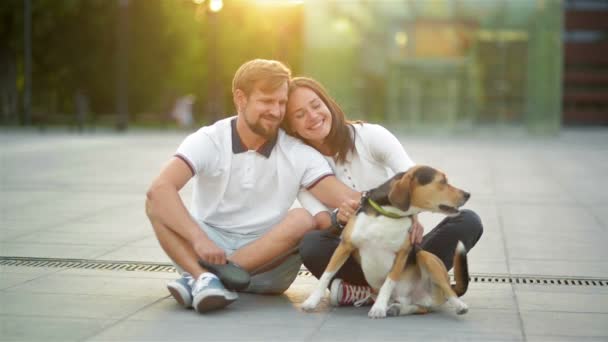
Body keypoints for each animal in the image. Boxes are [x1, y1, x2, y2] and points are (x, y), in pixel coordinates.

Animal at [302, 166, 472, 318]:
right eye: (442, 181)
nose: (468, 194)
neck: (389, 215)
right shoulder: (345, 246)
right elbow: (326, 275)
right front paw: (311, 301)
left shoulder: (402, 254)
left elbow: (388, 283)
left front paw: (378, 308)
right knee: (421, 308)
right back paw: (398, 308)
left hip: (427, 257)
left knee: (447, 291)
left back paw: (459, 305)